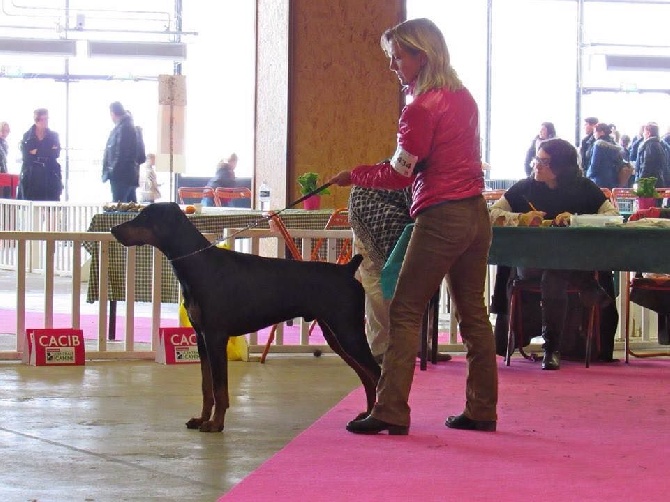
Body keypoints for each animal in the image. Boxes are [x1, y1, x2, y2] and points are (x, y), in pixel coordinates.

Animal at [113, 203, 380, 432]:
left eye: (145, 217)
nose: (114, 230)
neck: (199, 264)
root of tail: (347, 269)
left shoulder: (216, 337)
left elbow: (220, 389)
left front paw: (215, 424)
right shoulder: (201, 338)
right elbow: (206, 386)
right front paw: (201, 419)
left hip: (348, 331)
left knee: (376, 373)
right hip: (335, 334)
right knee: (367, 378)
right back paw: (366, 415)